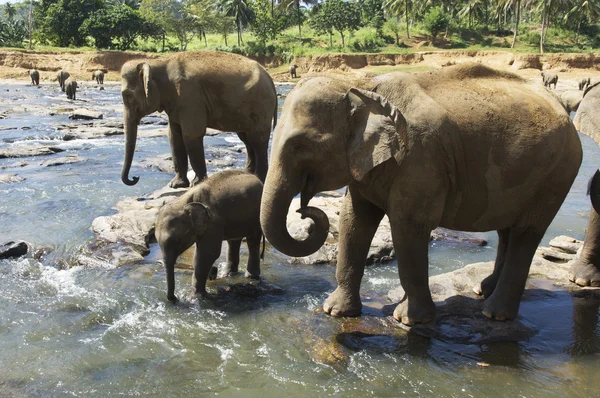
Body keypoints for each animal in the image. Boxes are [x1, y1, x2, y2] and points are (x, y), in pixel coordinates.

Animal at [120, 51, 278, 188]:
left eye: (127, 95)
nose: (135, 177)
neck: (159, 62)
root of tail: (270, 79)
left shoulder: (189, 97)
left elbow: (191, 134)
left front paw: (196, 184)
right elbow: (174, 136)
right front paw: (176, 185)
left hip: (261, 105)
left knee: (257, 140)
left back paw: (260, 178)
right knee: (246, 139)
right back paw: (248, 174)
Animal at [156, 168, 264, 302]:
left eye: (178, 241)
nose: (175, 298)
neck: (184, 200)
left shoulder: (213, 223)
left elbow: (207, 254)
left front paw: (195, 298)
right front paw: (210, 276)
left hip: (257, 216)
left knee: (252, 241)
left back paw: (250, 277)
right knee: (233, 241)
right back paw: (228, 274)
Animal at [260, 64, 584, 326]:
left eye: (300, 145)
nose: (304, 209)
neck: (362, 85)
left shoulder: (420, 158)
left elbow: (408, 227)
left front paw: (410, 320)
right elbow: (355, 220)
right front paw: (336, 312)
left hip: (557, 173)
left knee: (525, 233)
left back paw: (494, 313)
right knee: (507, 229)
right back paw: (483, 290)